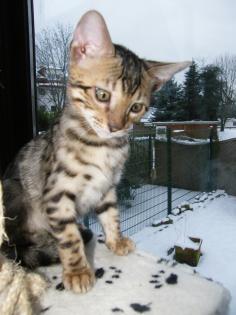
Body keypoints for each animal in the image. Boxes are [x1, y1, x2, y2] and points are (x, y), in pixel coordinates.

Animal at [1, 10, 190, 294]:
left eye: (136, 107)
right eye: (102, 95)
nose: (116, 126)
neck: (102, 147)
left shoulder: (107, 186)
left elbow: (111, 214)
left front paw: (116, 240)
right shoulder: (57, 194)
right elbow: (68, 237)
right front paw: (78, 271)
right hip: (13, 193)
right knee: (19, 247)